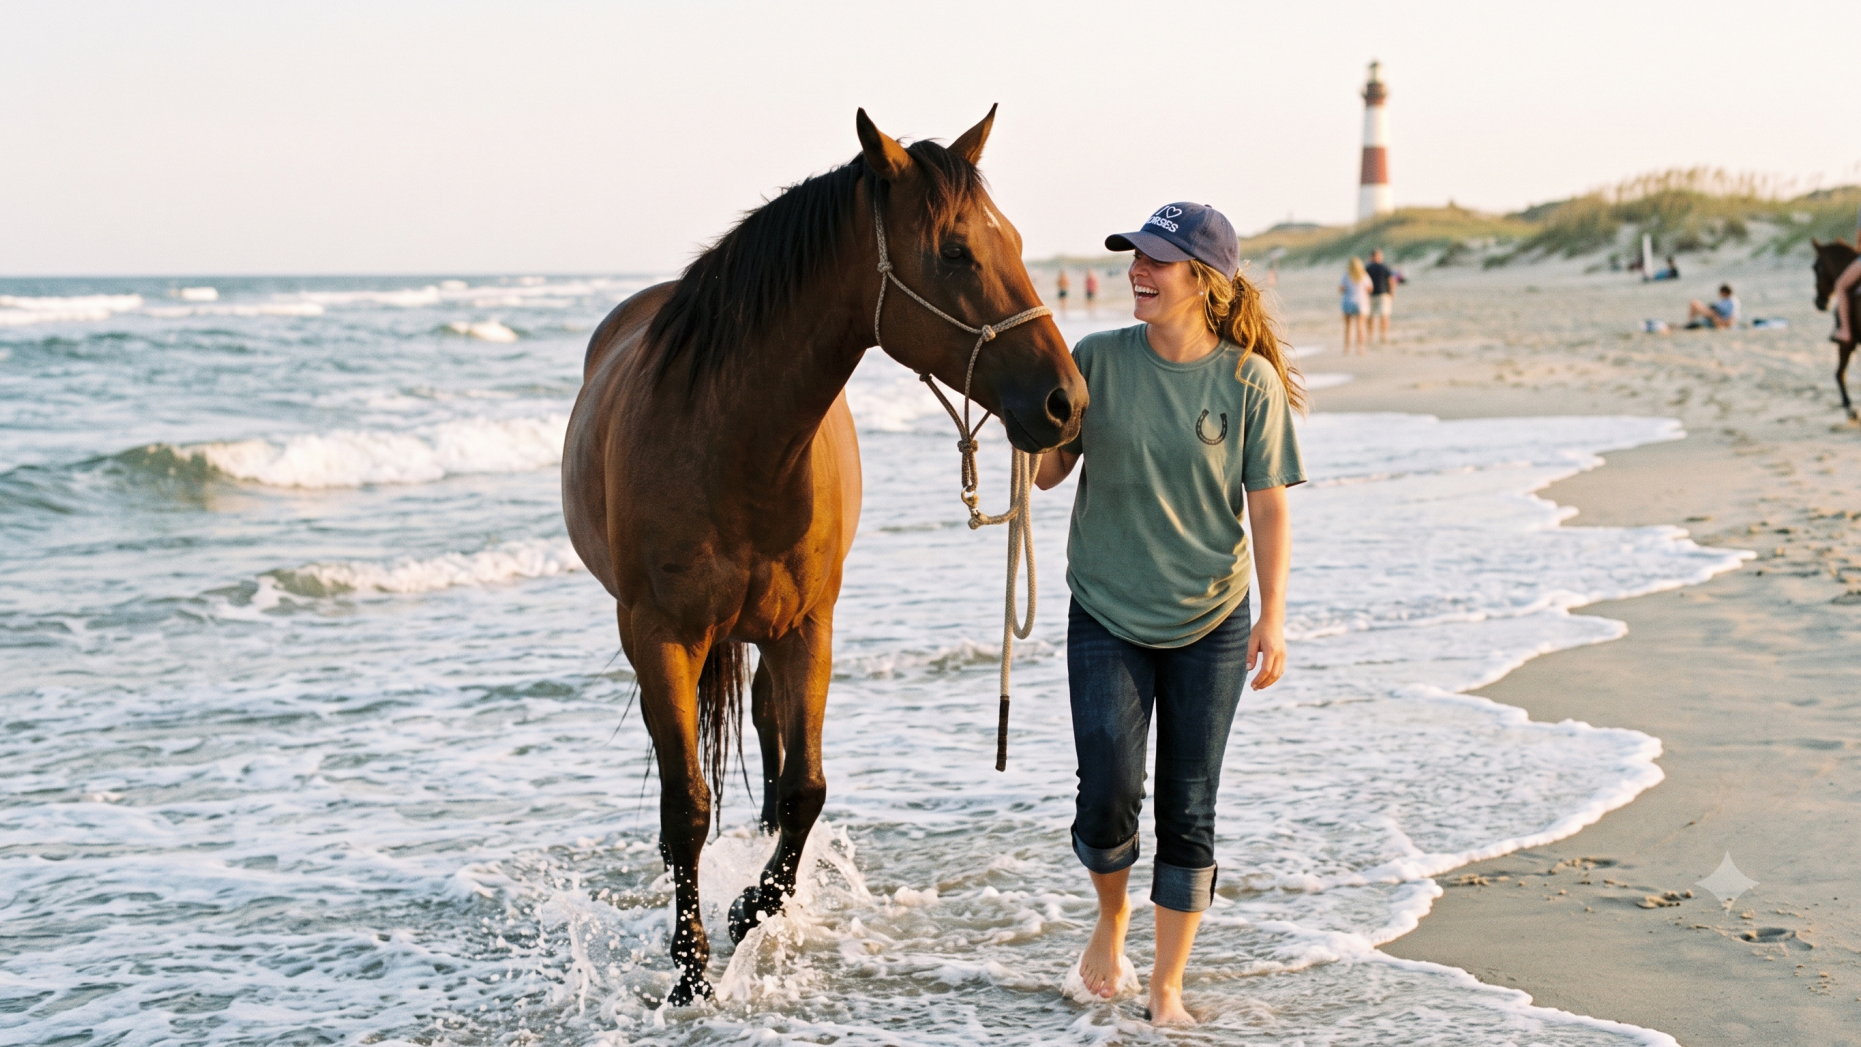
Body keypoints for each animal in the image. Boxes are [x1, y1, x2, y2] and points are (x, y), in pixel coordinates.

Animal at [561, 106, 1087, 1004]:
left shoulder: (807, 627)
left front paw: (752, 909)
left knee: (772, 744)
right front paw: (691, 970)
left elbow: (806, 787)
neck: (730, 441)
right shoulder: (659, 636)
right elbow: (686, 805)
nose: (1066, 402)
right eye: (955, 250)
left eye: (1014, 240)